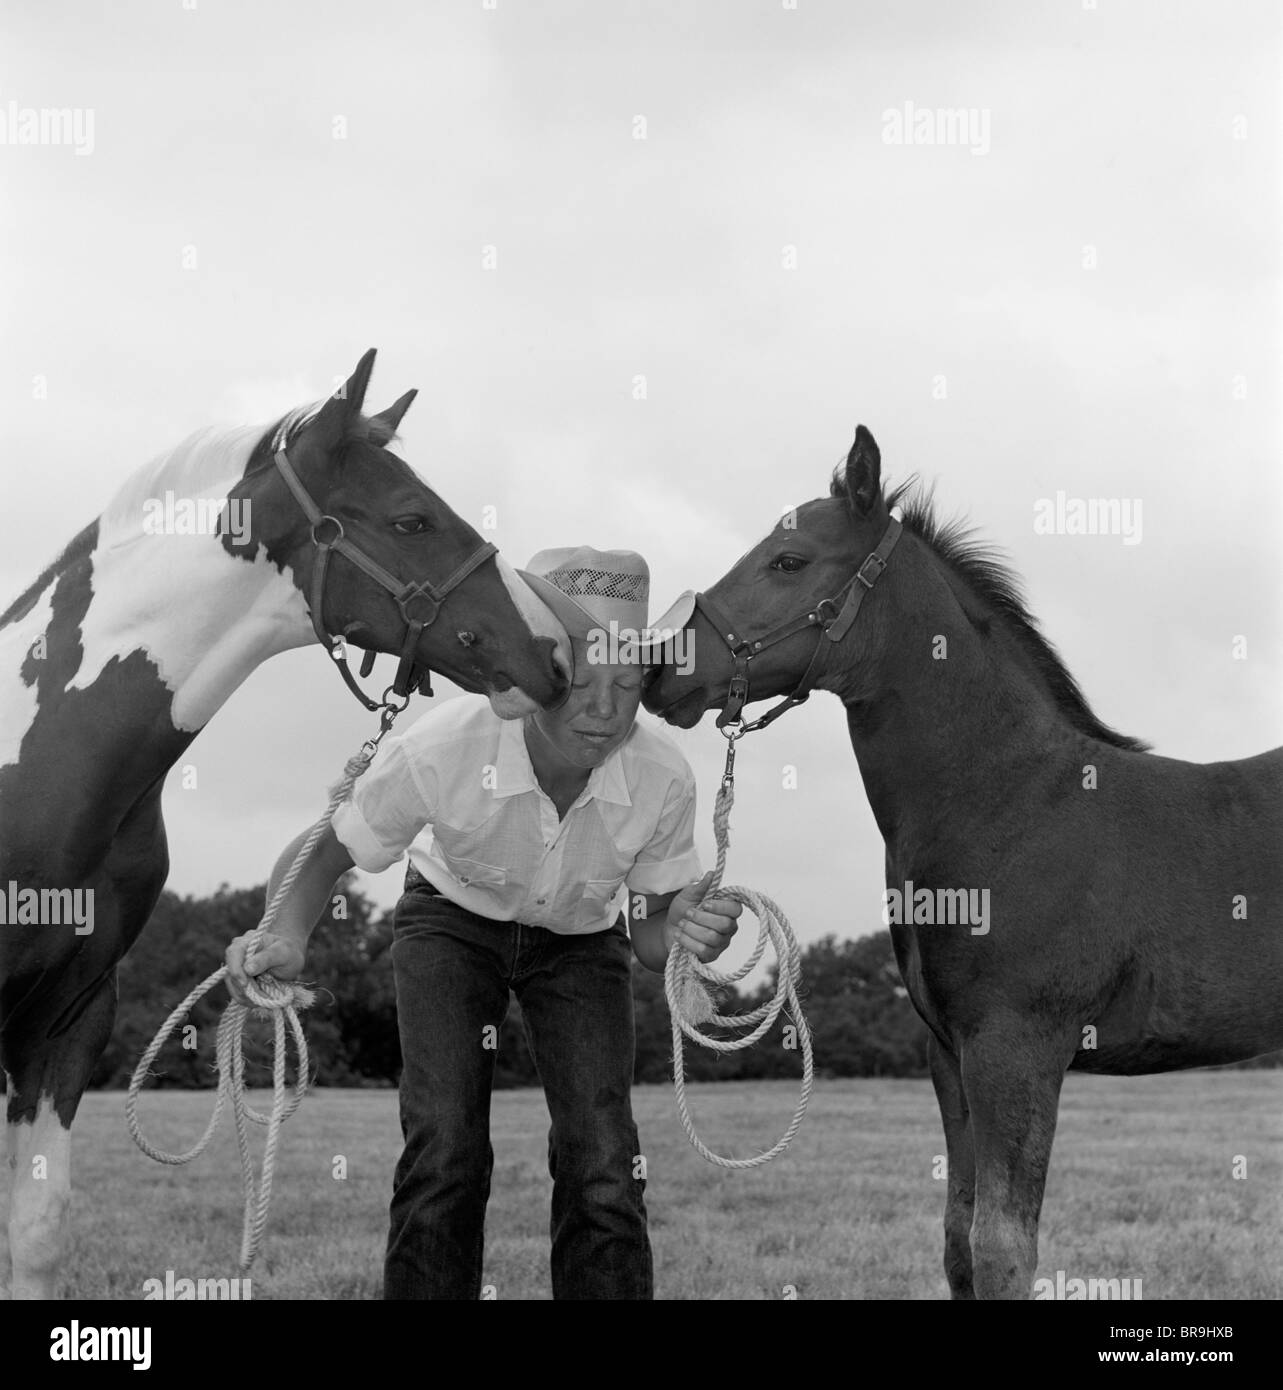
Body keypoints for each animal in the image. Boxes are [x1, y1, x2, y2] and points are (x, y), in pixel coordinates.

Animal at [647, 425, 1283, 1301]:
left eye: (789, 561)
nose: (657, 667)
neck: (1005, 799)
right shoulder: (948, 1052)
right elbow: (957, 1240)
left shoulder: (1015, 1045)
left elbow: (1001, 1248)